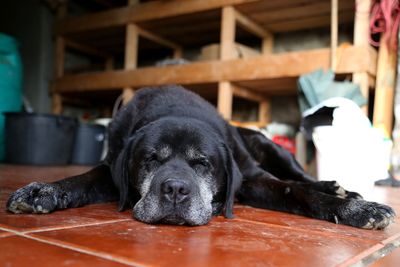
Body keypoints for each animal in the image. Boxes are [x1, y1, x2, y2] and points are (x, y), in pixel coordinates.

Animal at [7, 86, 396, 230]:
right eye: (151, 159)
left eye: (203, 163)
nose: (175, 190)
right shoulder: (111, 168)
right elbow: (82, 180)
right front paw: (43, 191)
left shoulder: (254, 178)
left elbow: (296, 192)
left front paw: (357, 209)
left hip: (274, 151)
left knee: (300, 177)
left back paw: (336, 186)